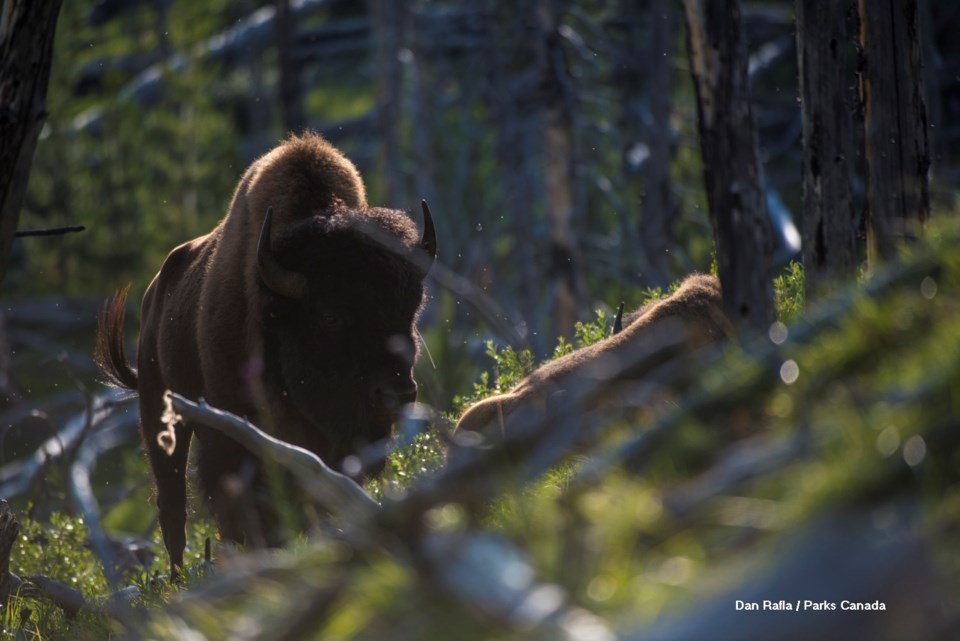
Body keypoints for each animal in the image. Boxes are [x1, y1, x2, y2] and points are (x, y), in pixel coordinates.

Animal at [96, 132, 436, 572]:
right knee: (173, 509)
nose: (397, 394)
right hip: (160, 413)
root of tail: (156, 291)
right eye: (330, 315)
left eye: (411, 307)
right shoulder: (236, 441)